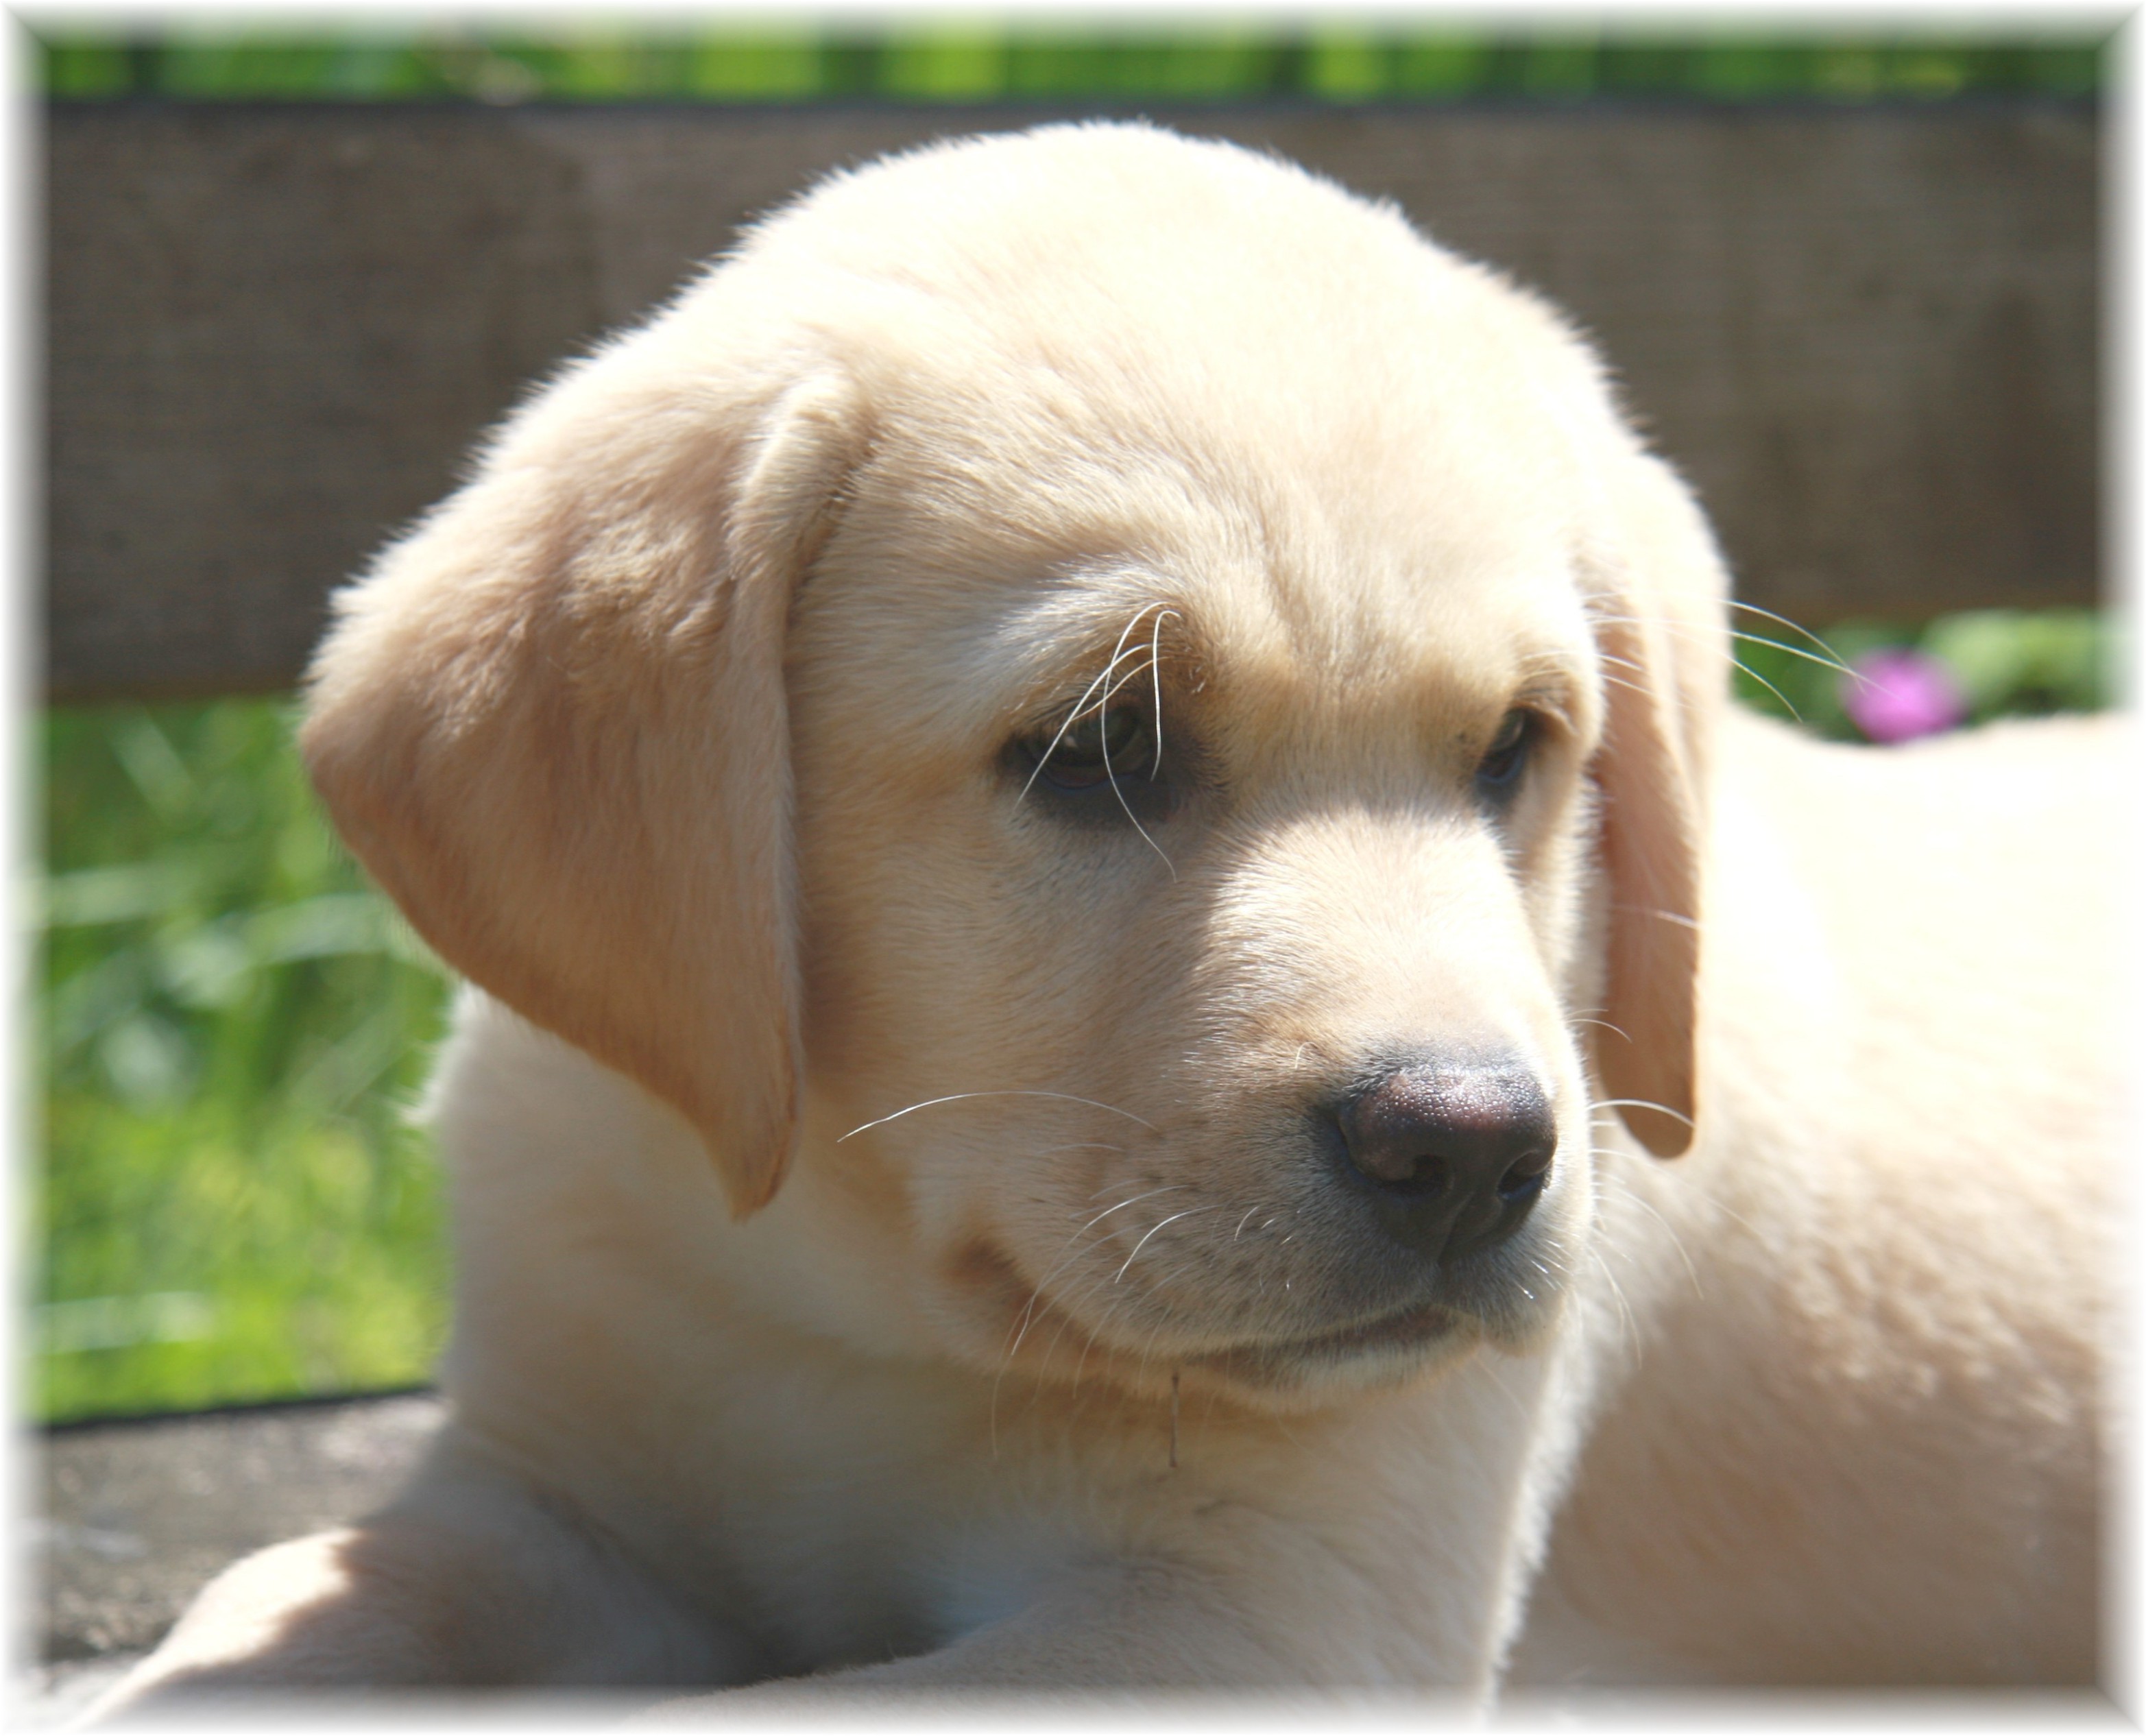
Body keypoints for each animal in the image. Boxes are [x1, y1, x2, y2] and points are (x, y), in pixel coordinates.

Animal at [88, 121, 2111, 1708]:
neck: (861, 1299)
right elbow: (278, 1601)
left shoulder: (1250, 1613)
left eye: (1518, 750)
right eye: (1100, 749)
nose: (1471, 1150)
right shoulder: (541, 1492)